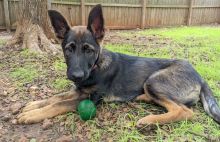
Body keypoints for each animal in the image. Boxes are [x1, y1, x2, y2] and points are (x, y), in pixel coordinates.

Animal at [17, 4, 220, 127]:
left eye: (88, 50)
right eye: (69, 49)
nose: (76, 75)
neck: (96, 67)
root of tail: (200, 76)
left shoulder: (91, 98)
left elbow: (59, 104)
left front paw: (32, 115)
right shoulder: (79, 91)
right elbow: (55, 97)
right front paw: (33, 105)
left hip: (153, 81)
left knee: (184, 111)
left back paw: (149, 120)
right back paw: (143, 98)